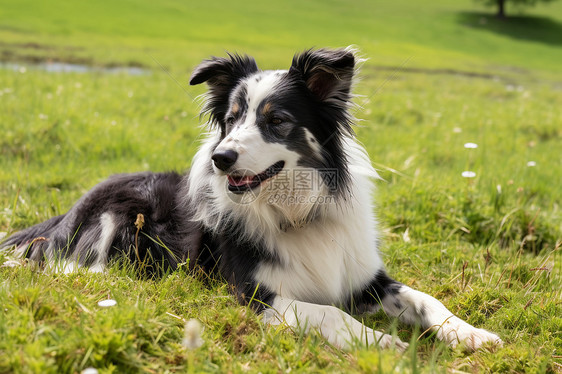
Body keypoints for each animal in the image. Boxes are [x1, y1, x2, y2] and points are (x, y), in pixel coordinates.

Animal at [0, 46, 498, 350]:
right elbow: (329, 314)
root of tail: (62, 217)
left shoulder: (365, 279)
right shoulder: (256, 293)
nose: (220, 157)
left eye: (276, 120)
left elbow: (426, 299)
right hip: (118, 211)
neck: (295, 211)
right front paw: (383, 343)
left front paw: (470, 334)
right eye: (233, 118)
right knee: (71, 268)